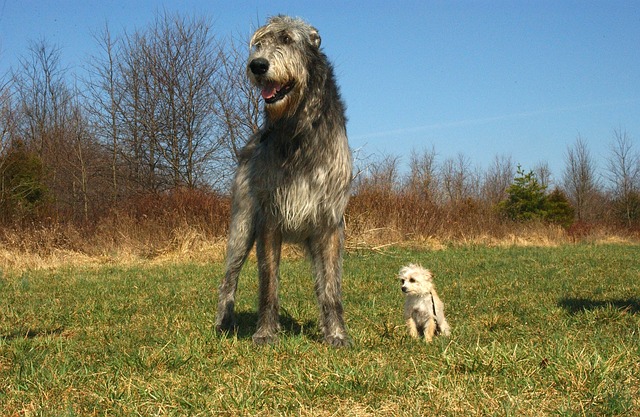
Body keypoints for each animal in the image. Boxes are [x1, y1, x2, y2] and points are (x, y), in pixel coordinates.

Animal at [218, 16, 352, 346]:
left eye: (288, 40)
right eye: (259, 44)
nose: (257, 65)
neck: (297, 128)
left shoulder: (330, 222)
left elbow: (331, 287)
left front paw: (337, 333)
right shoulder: (269, 219)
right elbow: (268, 283)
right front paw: (265, 333)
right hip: (241, 225)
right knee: (229, 277)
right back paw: (223, 322)